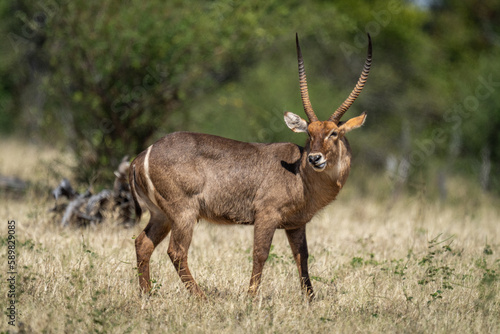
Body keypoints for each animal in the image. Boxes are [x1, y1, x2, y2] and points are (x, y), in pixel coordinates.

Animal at [129, 34, 372, 300]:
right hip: (183, 212)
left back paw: (146, 294)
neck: (300, 175)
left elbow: (302, 257)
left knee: (143, 243)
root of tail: (143, 155)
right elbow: (260, 254)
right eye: (309, 133)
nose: (314, 158)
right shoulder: (267, 215)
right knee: (176, 251)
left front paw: (310, 299)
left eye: (334, 133)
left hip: (161, 214)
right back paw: (201, 298)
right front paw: (251, 297)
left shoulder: (296, 224)